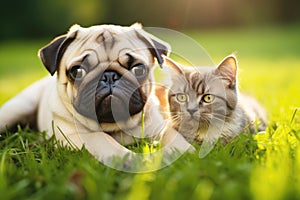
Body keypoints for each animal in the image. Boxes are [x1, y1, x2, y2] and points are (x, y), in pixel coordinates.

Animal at [0, 23, 191, 167]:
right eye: (77, 71)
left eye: (138, 69)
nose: (109, 76)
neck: (115, 125)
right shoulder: (77, 136)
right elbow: (102, 139)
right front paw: (129, 160)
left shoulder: (158, 127)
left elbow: (173, 136)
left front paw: (184, 153)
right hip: (18, 108)